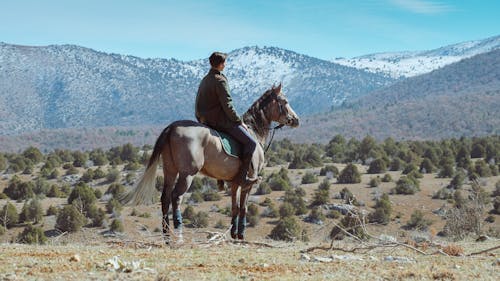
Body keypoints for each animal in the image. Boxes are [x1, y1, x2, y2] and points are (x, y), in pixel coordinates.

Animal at [121, 82, 298, 241]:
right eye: (284, 101)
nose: (296, 120)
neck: (254, 132)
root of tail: (172, 127)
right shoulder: (248, 182)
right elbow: (244, 207)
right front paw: (241, 234)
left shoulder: (235, 183)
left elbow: (234, 207)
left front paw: (233, 233)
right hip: (187, 174)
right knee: (176, 197)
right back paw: (178, 235)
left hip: (170, 171)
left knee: (165, 198)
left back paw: (167, 236)